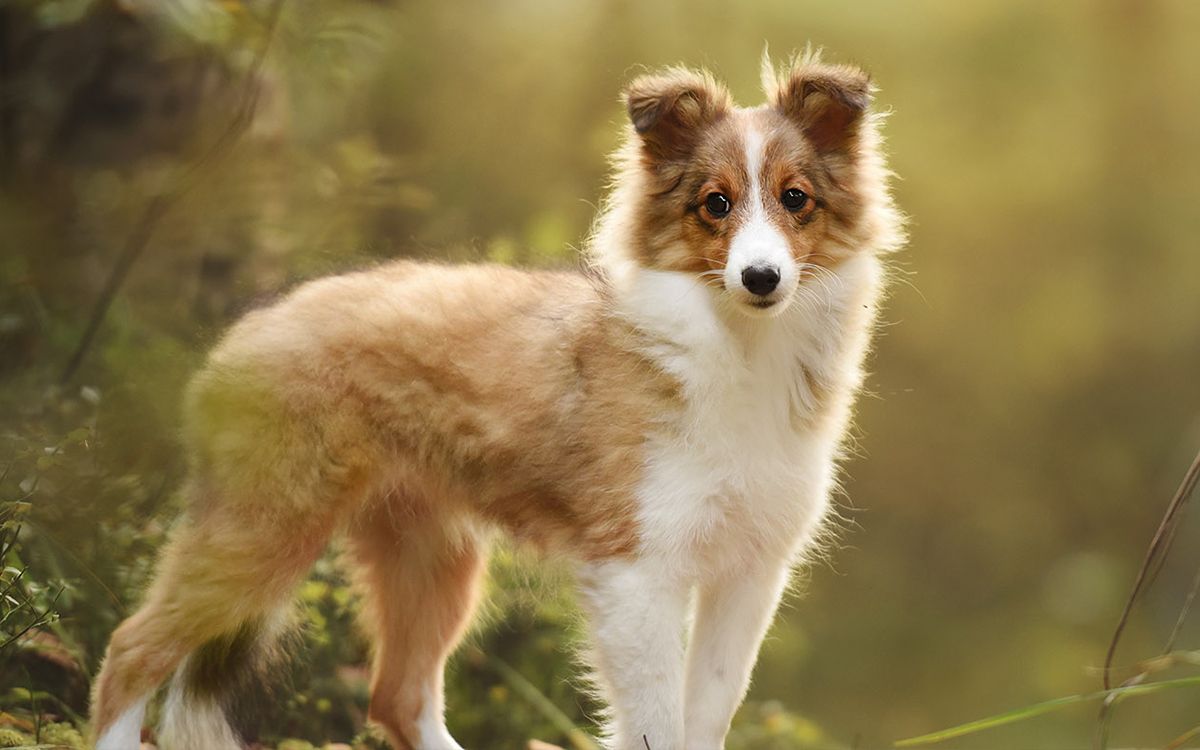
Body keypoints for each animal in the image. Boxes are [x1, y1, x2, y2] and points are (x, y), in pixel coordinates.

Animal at [91, 52, 902, 748]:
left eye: (796, 199)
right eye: (715, 204)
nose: (761, 278)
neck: (739, 348)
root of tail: (244, 333)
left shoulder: (749, 574)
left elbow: (706, 716)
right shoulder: (637, 570)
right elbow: (656, 725)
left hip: (432, 559)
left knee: (398, 695)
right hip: (265, 528)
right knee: (130, 648)